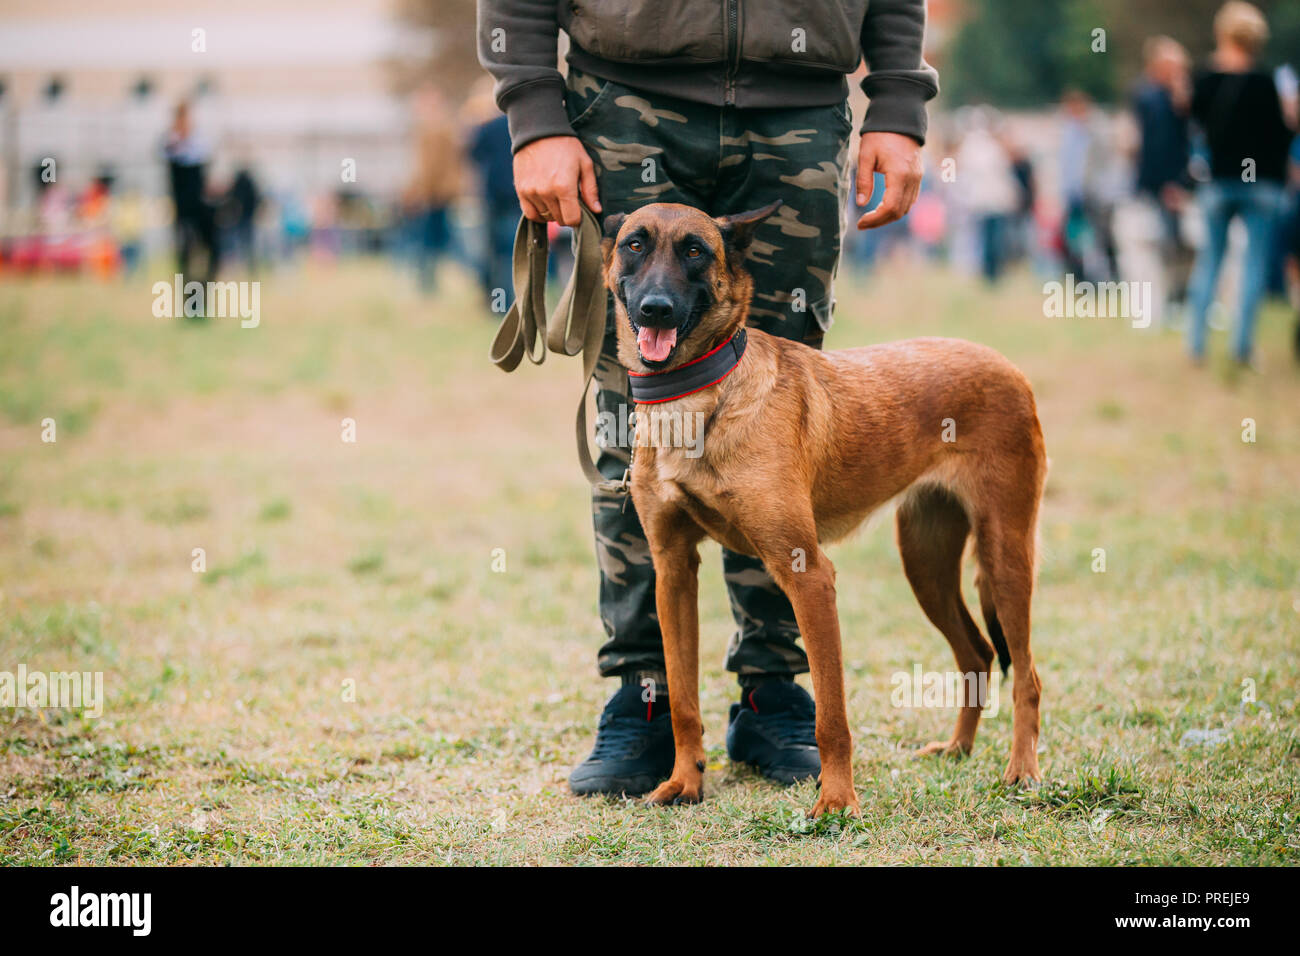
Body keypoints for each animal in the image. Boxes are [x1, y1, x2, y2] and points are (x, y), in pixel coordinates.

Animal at [603, 201, 1050, 816]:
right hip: (926, 563)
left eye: (695, 251)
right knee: (977, 653)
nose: (656, 308)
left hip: (1005, 556)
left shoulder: (808, 574)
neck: (699, 398)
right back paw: (958, 749)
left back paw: (1022, 770)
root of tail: (1007, 366)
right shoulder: (673, 571)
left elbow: (831, 714)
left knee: (1026, 673)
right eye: (635, 245)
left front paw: (837, 799)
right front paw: (684, 783)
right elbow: (682, 701)